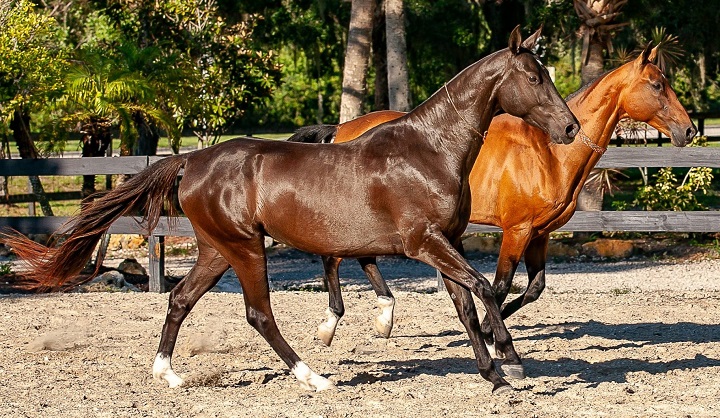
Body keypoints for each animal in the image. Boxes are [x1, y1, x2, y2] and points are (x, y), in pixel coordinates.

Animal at [1, 27, 580, 396]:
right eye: (534, 78)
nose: (571, 128)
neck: (431, 150)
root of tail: (190, 159)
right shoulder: (425, 243)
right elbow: (484, 289)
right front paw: (512, 361)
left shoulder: (448, 242)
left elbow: (466, 304)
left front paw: (494, 374)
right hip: (244, 247)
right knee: (259, 314)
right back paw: (314, 377)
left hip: (217, 249)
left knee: (181, 300)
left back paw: (169, 375)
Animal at [292, 42, 696, 356]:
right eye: (657, 85)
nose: (689, 130)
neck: (548, 152)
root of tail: (341, 129)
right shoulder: (516, 230)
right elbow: (500, 285)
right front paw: (490, 335)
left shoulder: (540, 234)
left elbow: (534, 288)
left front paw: (489, 331)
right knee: (336, 257)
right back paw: (333, 324)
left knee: (362, 258)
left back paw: (383, 318)